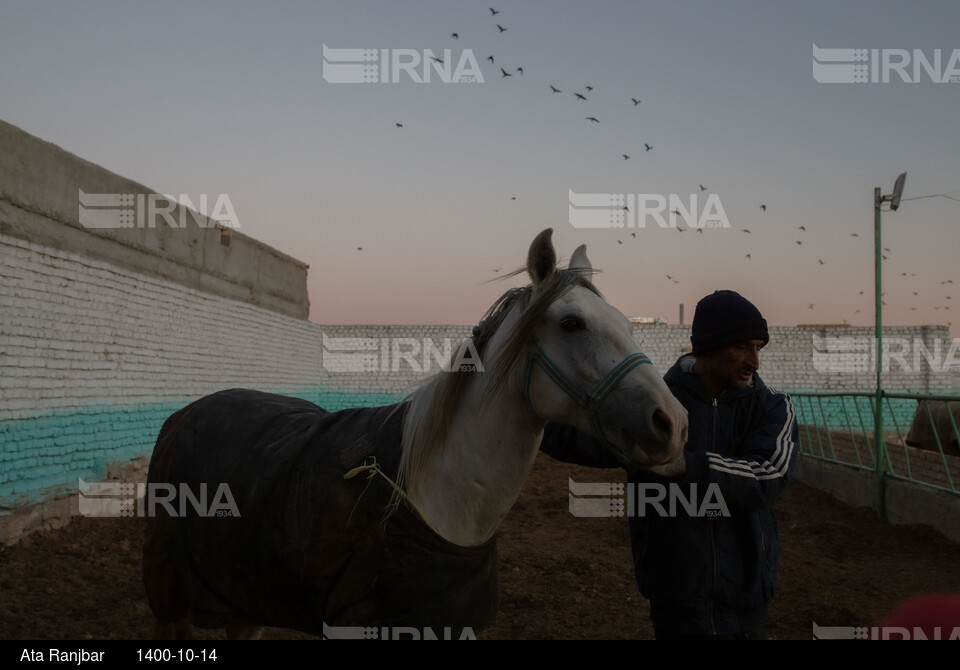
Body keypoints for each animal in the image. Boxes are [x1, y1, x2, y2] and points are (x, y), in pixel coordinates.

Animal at [141, 227, 688, 640]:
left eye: (628, 325)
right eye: (572, 323)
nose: (674, 423)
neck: (433, 503)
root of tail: (184, 415)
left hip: (245, 596)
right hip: (170, 600)